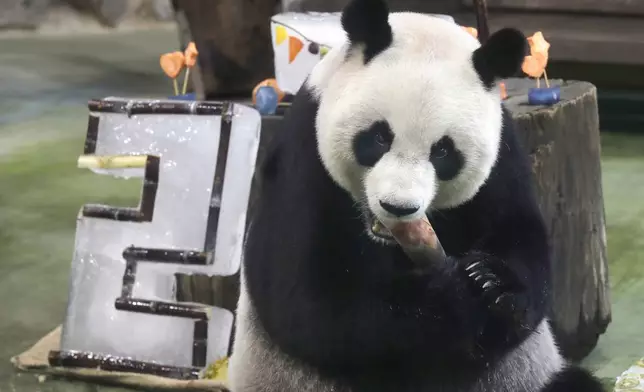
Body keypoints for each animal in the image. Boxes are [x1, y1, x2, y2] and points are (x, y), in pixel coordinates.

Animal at [228, 0, 608, 388]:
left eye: (442, 152)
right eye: (379, 137)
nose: (398, 207)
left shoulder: (502, 160)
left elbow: (524, 243)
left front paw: (492, 282)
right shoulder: (303, 162)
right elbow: (311, 301)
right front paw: (456, 295)